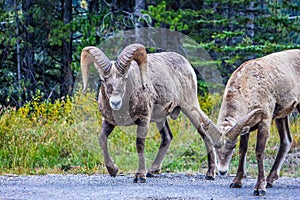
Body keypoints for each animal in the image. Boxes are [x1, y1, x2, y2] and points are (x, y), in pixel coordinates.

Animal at [81, 43, 218, 183]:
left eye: (125, 78)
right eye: (103, 80)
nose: (115, 102)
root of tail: (188, 65)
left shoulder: (143, 120)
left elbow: (140, 145)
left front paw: (140, 176)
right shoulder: (109, 122)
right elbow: (102, 140)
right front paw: (113, 170)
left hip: (190, 108)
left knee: (205, 134)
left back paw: (210, 174)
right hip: (161, 119)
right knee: (167, 137)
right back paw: (152, 170)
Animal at [209, 49, 300, 195]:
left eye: (232, 146)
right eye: (215, 146)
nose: (222, 171)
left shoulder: (265, 121)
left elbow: (259, 152)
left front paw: (260, 188)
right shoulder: (246, 126)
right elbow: (243, 150)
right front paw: (236, 182)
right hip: (281, 116)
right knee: (286, 140)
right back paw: (270, 180)